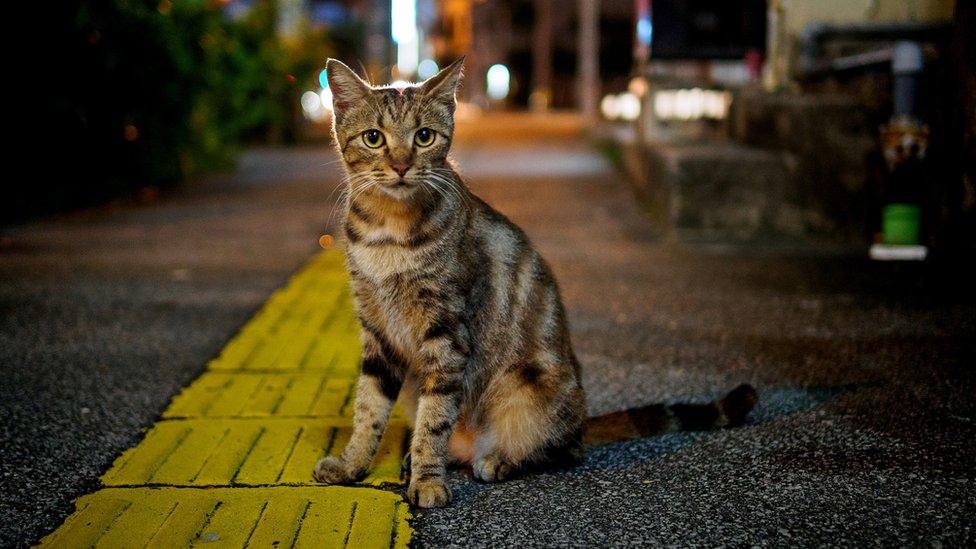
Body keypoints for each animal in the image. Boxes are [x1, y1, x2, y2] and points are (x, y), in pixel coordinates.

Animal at [312, 57, 756, 508]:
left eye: (424, 136)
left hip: (526, 391)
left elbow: (434, 420)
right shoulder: (377, 332)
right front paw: (352, 466)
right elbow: (368, 409)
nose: (401, 165)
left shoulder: (446, 334)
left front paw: (428, 480)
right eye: (373, 138)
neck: (387, 234)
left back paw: (498, 460)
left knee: (564, 451)